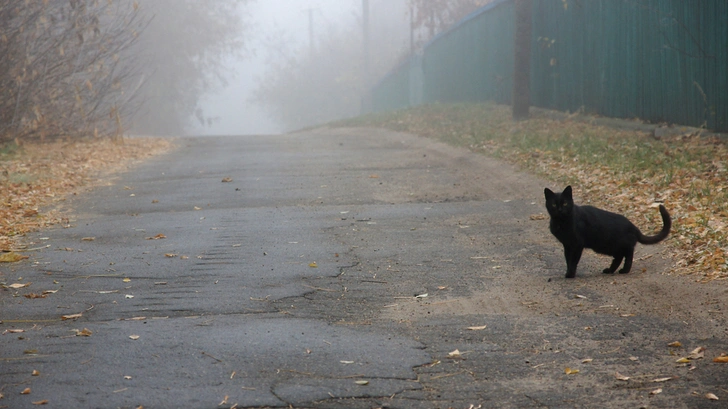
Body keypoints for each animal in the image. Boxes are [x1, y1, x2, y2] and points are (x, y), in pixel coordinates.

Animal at [544, 185, 672, 278]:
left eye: (565, 203)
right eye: (554, 204)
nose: (560, 210)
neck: (561, 223)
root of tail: (633, 227)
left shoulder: (577, 244)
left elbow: (573, 260)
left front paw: (570, 274)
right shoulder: (567, 245)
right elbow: (567, 259)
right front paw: (568, 272)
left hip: (614, 245)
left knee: (629, 253)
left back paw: (625, 270)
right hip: (611, 247)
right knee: (619, 257)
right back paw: (610, 270)